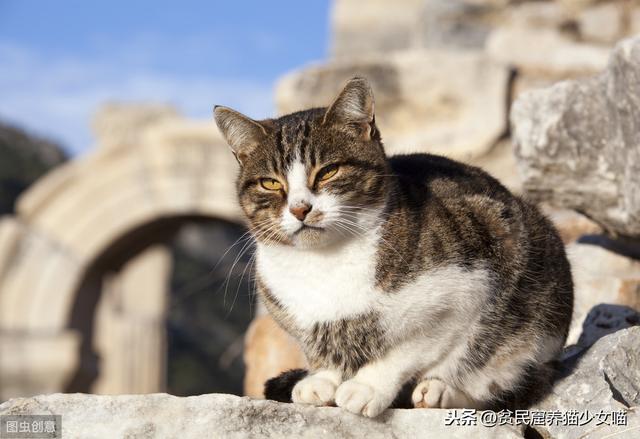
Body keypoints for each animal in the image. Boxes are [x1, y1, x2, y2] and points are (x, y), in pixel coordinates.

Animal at [213, 77, 573, 418]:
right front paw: (321, 381)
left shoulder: (462, 295)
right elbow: (324, 354)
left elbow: (405, 350)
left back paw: (440, 391)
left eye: (329, 171)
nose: (300, 209)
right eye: (270, 183)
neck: (323, 263)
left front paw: (367, 387)